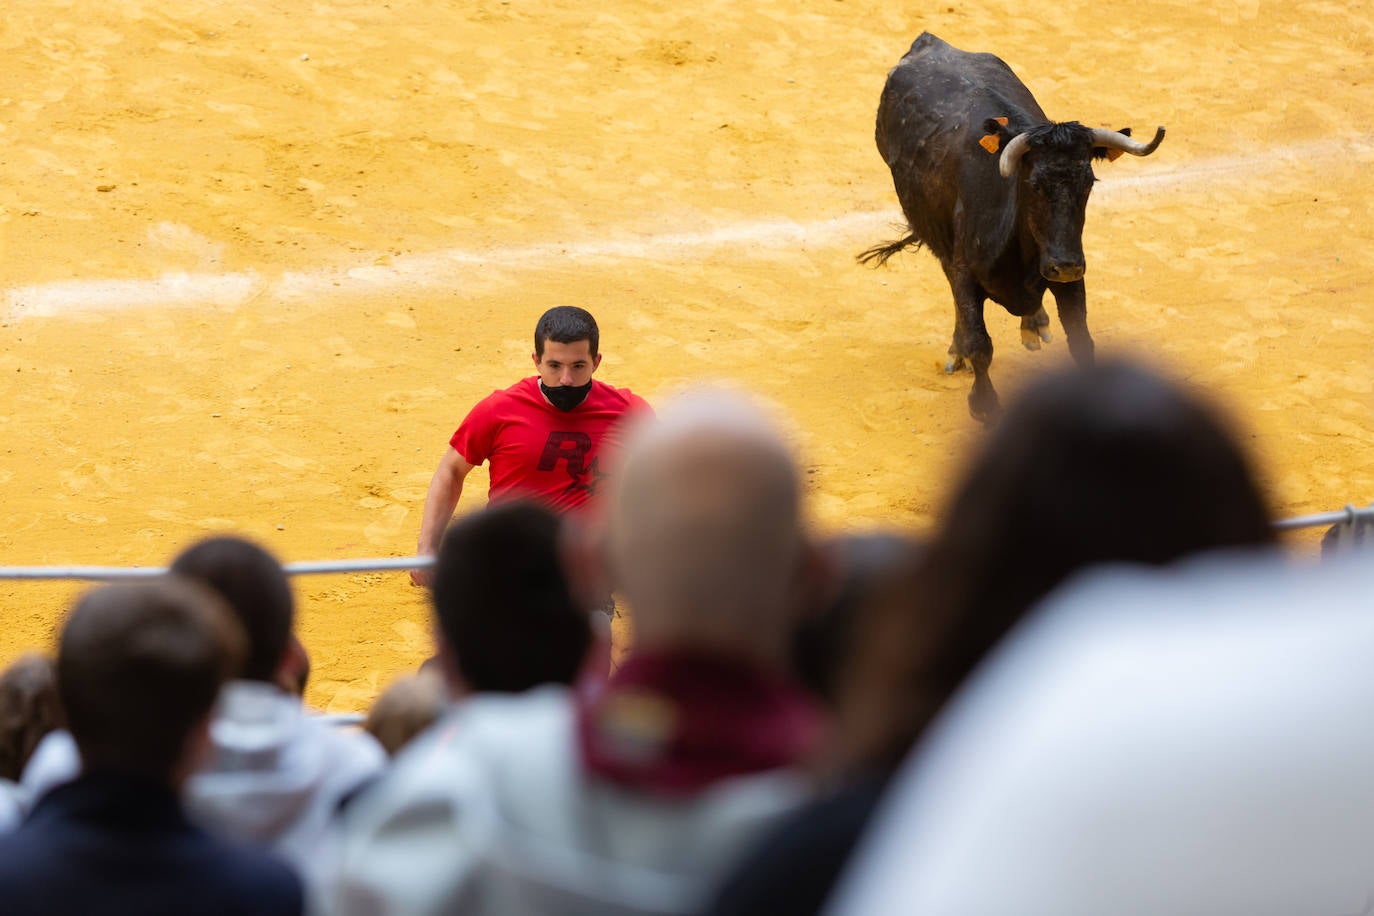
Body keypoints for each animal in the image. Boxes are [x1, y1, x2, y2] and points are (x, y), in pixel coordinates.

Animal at [857, 33, 1159, 422]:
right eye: (1033, 184)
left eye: (1088, 182)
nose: (1064, 266)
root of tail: (929, 41)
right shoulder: (965, 271)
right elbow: (980, 344)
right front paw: (984, 405)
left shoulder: (1072, 278)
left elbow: (1081, 341)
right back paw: (958, 350)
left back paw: (1034, 322)